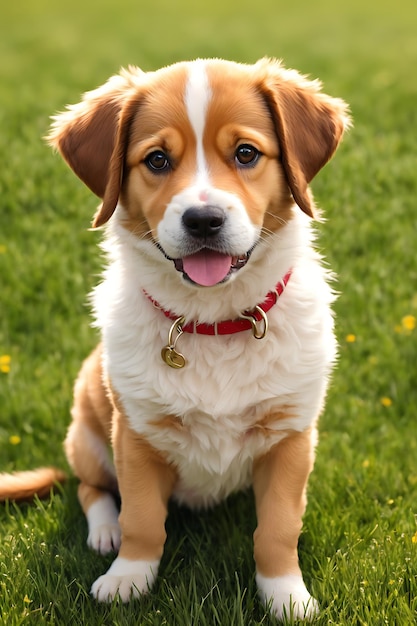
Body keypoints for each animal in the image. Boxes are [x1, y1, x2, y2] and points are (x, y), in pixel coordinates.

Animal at [1, 58, 350, 620]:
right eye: (157, 160)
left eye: (246, 153)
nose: (203, 220)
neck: (213, 322)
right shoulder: (137, 435)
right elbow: (143, 520)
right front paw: (127, 578)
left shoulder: (290, 437)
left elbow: (277, 528)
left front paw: (286, 596)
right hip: (87, 433)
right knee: (91, 490)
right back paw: (103, 533)